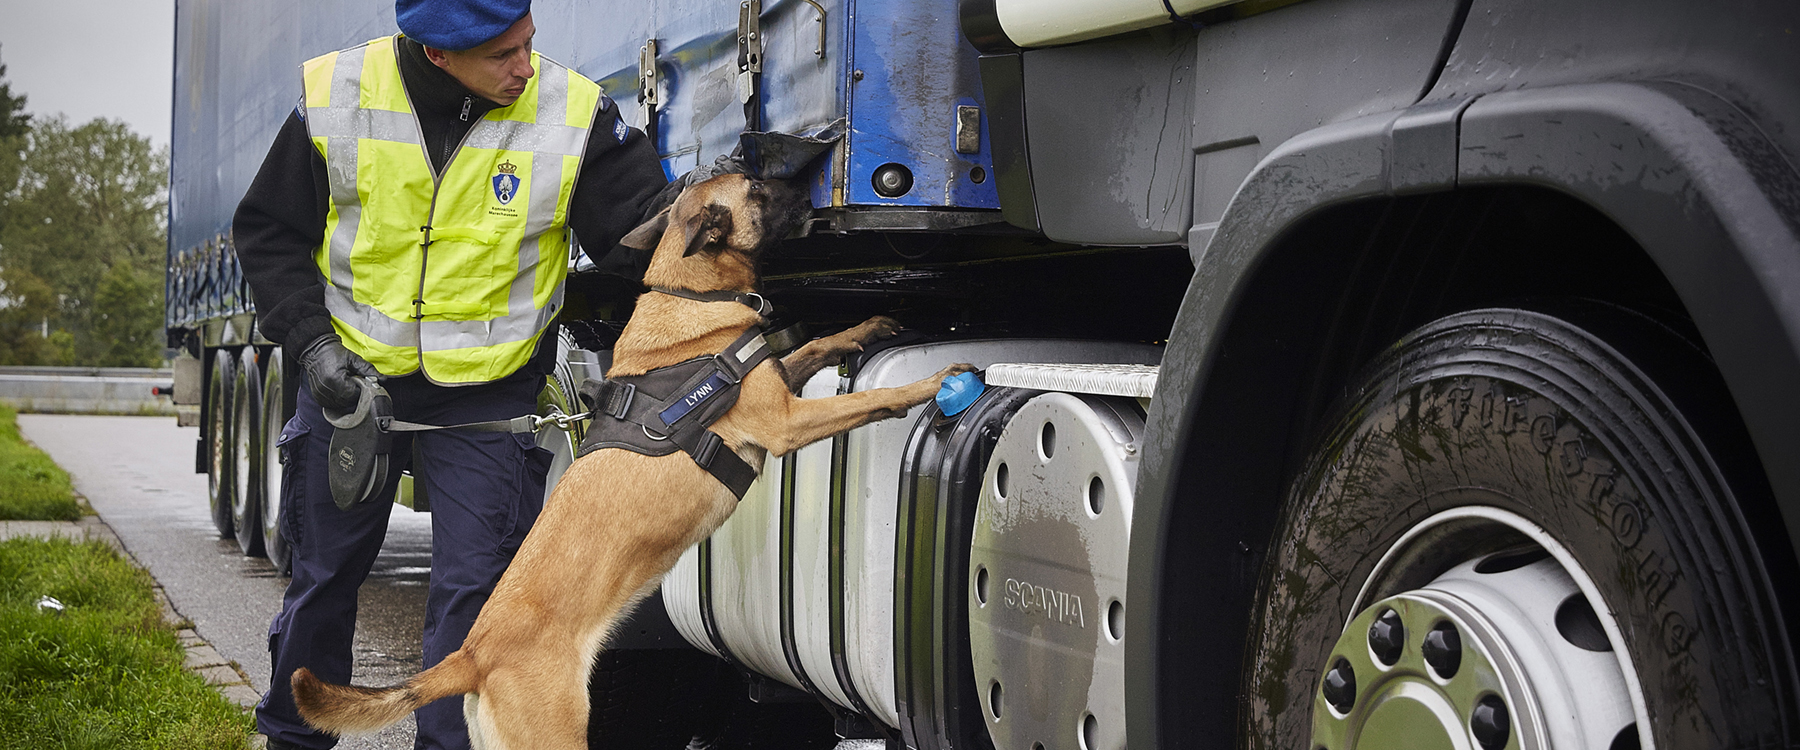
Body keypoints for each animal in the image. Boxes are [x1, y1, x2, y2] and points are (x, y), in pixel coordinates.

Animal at [289, 172, 979, 744]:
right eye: (757, 187)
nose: (810, 180)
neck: (690, 293)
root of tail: (470, 655)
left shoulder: (777, 380)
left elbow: (816, 345)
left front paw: (867, 328)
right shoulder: (785, 423)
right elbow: (872, 397)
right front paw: (936, 381)